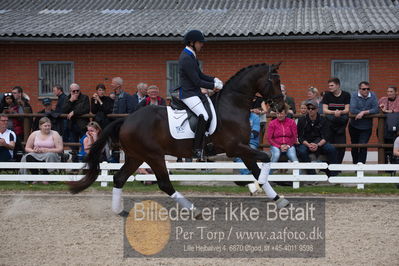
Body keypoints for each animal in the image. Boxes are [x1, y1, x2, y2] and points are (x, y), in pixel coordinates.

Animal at [70, 62, 290, 216]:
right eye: (274, 81)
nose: (281, 107)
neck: (232, 105)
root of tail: (126, 120)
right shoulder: (235, 147)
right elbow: (265, 160)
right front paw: (257, 187)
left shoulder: (243, 148)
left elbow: (257, 168)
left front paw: (278, 199)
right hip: (153, 156)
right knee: (164, 184)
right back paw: (194, 210)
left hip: (136, 156)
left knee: (119, 178)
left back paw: (119, 211)